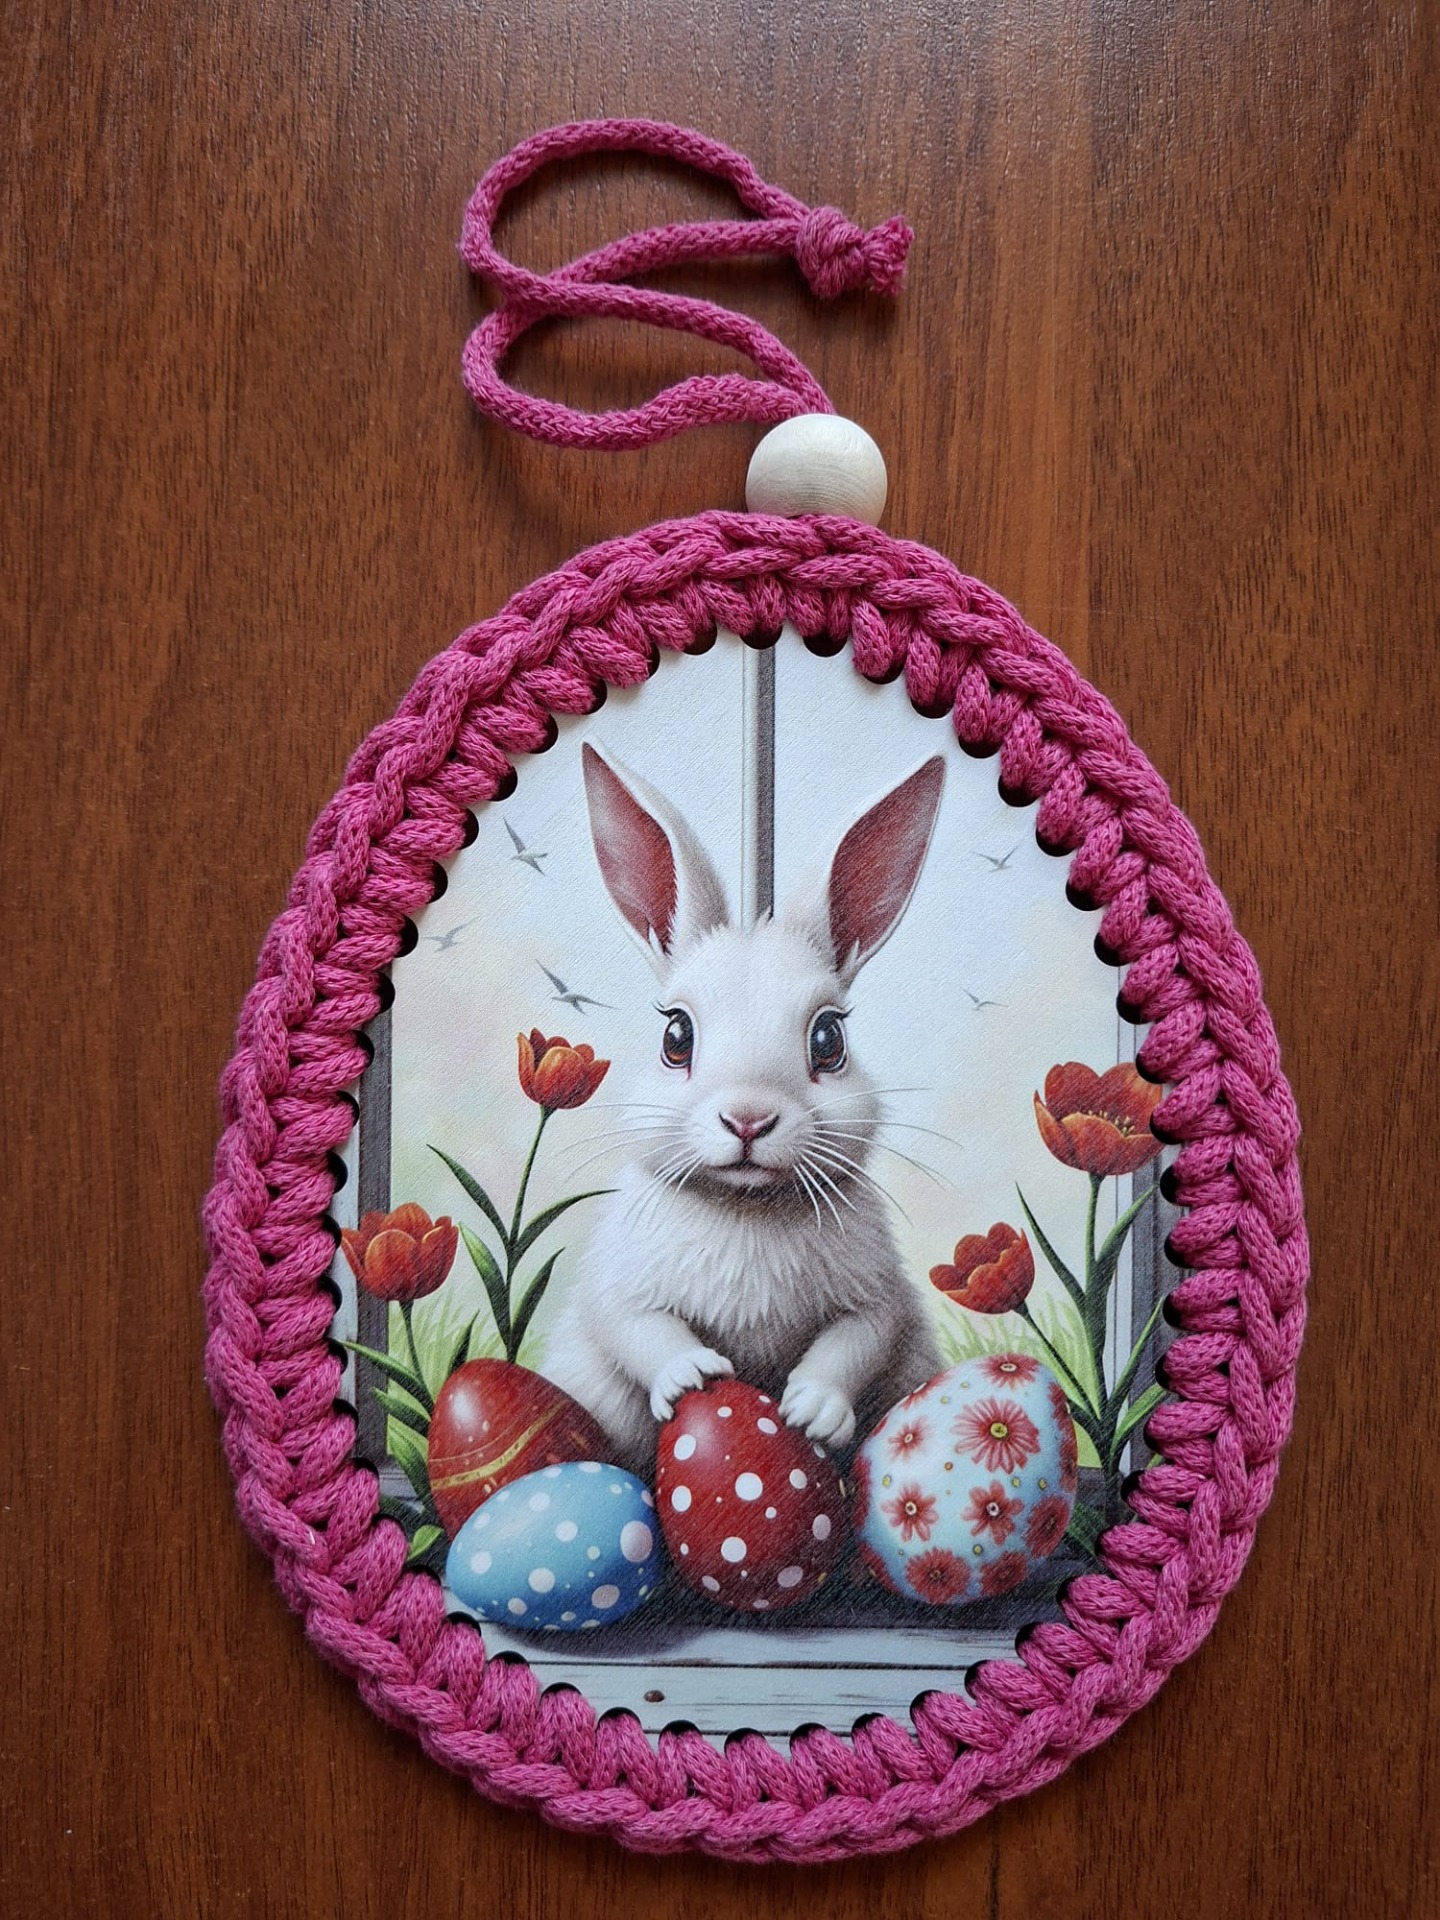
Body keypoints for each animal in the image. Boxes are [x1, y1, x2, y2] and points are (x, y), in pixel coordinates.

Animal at [540, 741, 946, 1476]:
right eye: (676, 1036)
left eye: (829, 1039)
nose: (748, 1119)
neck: (747, 1206)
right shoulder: (618, 1288)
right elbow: (639, 1329)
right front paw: (695, 1377)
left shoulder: (879, 1298)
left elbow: (855, 1343)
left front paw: (813, 1410)